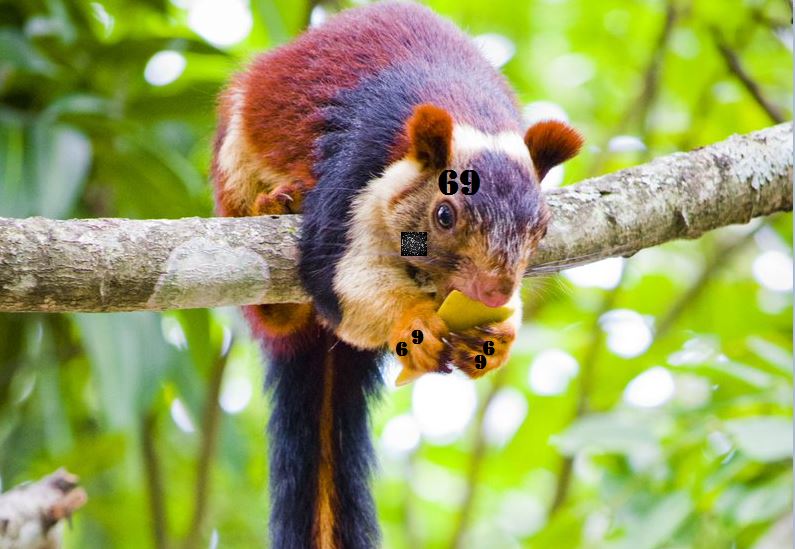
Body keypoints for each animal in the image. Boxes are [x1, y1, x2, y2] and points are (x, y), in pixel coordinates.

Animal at [212, 2, 583, 548]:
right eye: (444, 215)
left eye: (542, 227)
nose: (494, 290)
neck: (470, 111)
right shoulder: (354, 173)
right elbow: (338, 279)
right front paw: (414, 324)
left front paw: (497, 337)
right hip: (235, 158)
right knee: (272, 307)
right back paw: (275, 227)